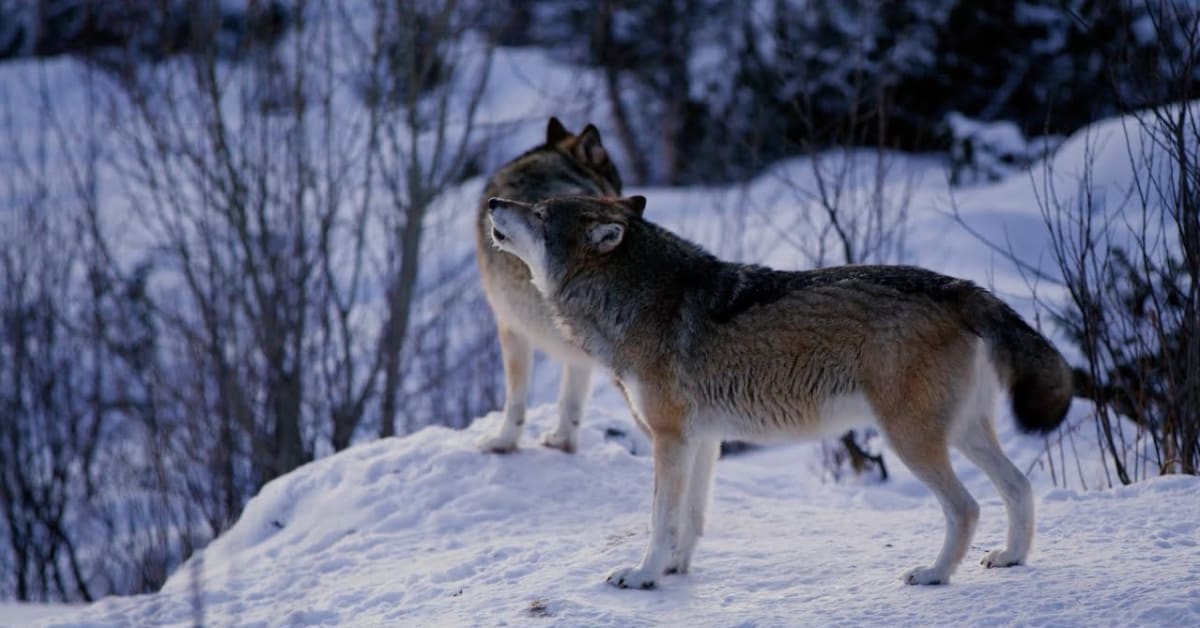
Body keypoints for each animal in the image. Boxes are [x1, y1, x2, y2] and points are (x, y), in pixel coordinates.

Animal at [482, 194, 1075, 588]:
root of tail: (962, 287)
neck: (636, 299)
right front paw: (674, 570)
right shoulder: (703, 441)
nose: (491, 201)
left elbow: (659, 518)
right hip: (964, 434)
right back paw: (1012, 558)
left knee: (967, 507)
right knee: (1020, 487)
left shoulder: (669, 439)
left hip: (912, 441)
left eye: (540, 212)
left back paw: (934, 574)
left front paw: (643, 575)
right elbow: (690, 519)